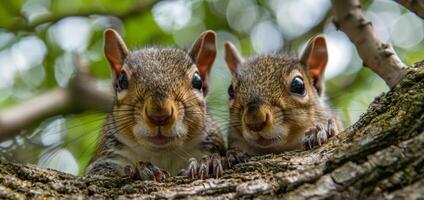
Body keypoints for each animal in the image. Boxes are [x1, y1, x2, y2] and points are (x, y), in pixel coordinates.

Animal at [85, 28, 227, 180]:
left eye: (197, 81)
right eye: (122, 80)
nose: (159, 114)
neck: (162, 155)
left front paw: (206, 163)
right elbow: (98, 172)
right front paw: (141, 169)